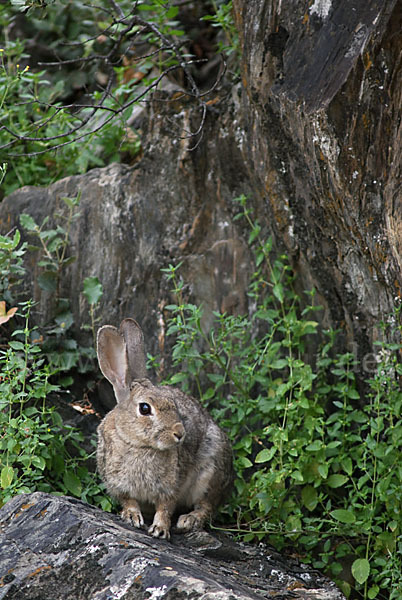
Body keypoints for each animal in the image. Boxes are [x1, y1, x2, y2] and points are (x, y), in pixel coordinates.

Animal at [96, 318, 234, 540]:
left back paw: (188, 521)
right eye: (145, 408)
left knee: (207, 506)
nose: (180, 433)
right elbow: (129, 501)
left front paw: (160, 529)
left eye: (174, 403)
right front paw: (132, 517)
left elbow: (165, 508)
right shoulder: (118, 485)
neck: (138, 444)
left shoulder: (171, 487)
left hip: (210, 472)